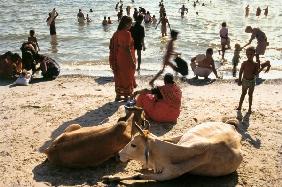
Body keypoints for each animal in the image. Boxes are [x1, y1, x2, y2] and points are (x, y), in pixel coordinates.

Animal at [103, 119, 242, 182]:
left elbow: (138, 176)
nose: (119, 154)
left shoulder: (166, 176)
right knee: (168, 137)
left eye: (133, 145)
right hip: (183, 134)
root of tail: (232, 127)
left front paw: (110, 178)